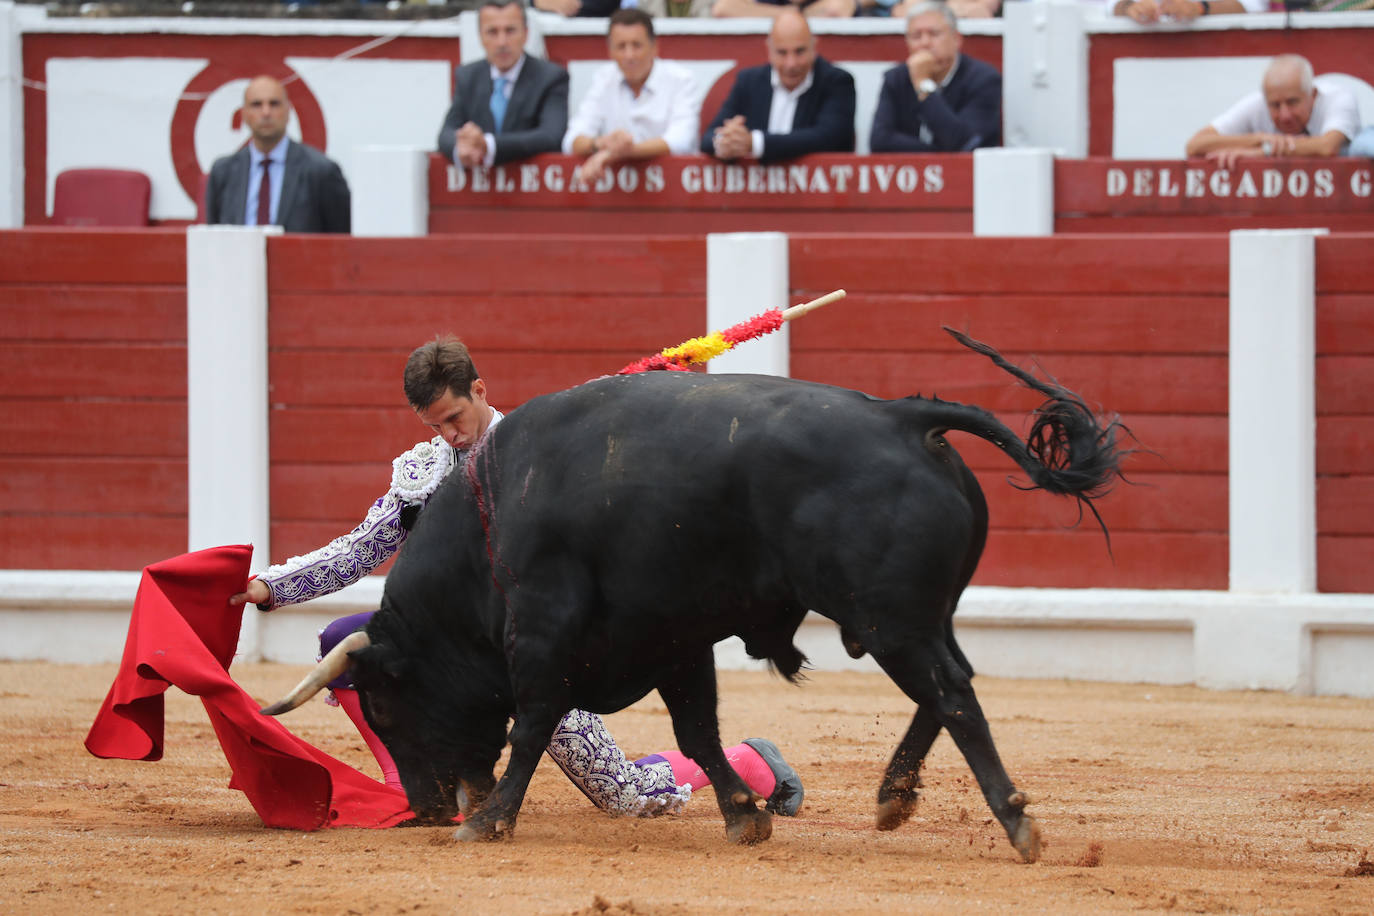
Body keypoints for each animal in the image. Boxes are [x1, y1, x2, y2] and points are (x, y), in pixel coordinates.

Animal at [295, 333, 1121, 862]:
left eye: (385, 709)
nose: (431, 809)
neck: (490, 519)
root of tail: (901, 414)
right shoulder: (671, 638)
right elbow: (697, 732)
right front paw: (743, 816)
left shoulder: (542, 630)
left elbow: (530, 725)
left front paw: (489, 820)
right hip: (912, 617)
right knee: (947, 689)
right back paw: (893, 796)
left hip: (890, 619)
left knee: (950, 693)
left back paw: (1013, 822)